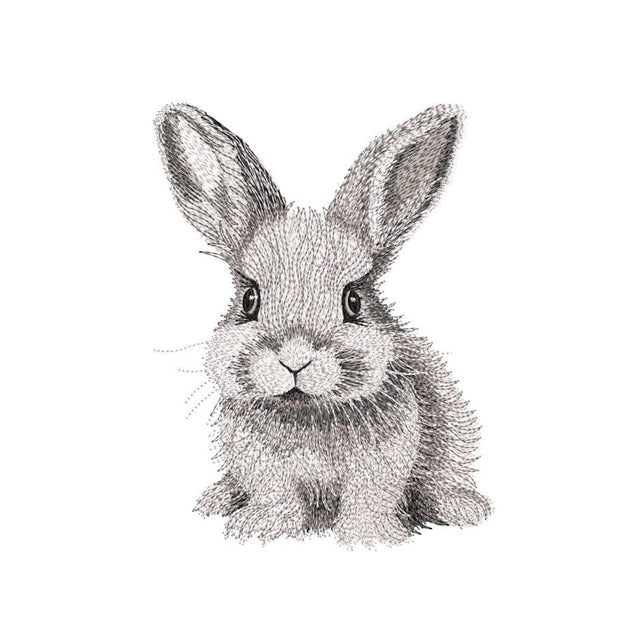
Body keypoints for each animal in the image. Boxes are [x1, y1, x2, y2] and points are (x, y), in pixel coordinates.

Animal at [155, 103, 492, 546]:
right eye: (249, 300)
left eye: (353, 301)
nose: (294, 360)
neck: (307, 412)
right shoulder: (260, 465)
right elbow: (276, 495)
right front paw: (259, 528)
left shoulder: (384, 462)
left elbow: (370, 497)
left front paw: (370, 538)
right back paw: (217, 499)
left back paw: (464, 508)